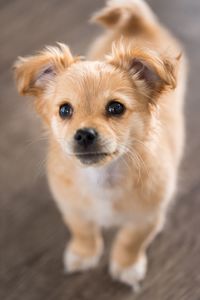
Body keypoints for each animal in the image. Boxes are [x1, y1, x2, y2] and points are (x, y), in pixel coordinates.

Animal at [13, 0, 186, 290]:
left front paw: (126, 267)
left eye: (116, 108)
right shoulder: (73, 209)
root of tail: (136, 24)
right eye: (64, 110)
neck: (102, 177)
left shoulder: (146, 218)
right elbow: (83, 232)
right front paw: (83, 255)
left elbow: (130, 242)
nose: (84, 134)